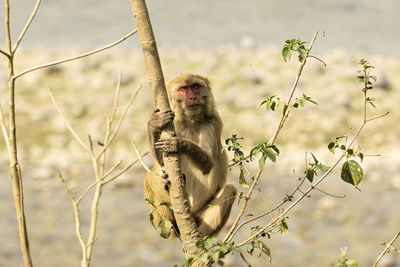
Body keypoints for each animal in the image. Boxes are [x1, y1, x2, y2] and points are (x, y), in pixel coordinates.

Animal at [145, 73, 236, 239]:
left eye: (195, 87)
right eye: (183, 89)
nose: (192, 97)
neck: (190, 122)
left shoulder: (213, 122)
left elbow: (209, 164)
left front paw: (180, 144)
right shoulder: (173, 123)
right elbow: (161, 161)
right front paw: (154, 123)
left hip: (200, 214)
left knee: (230, 189)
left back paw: (200, 235)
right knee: (147, 178)